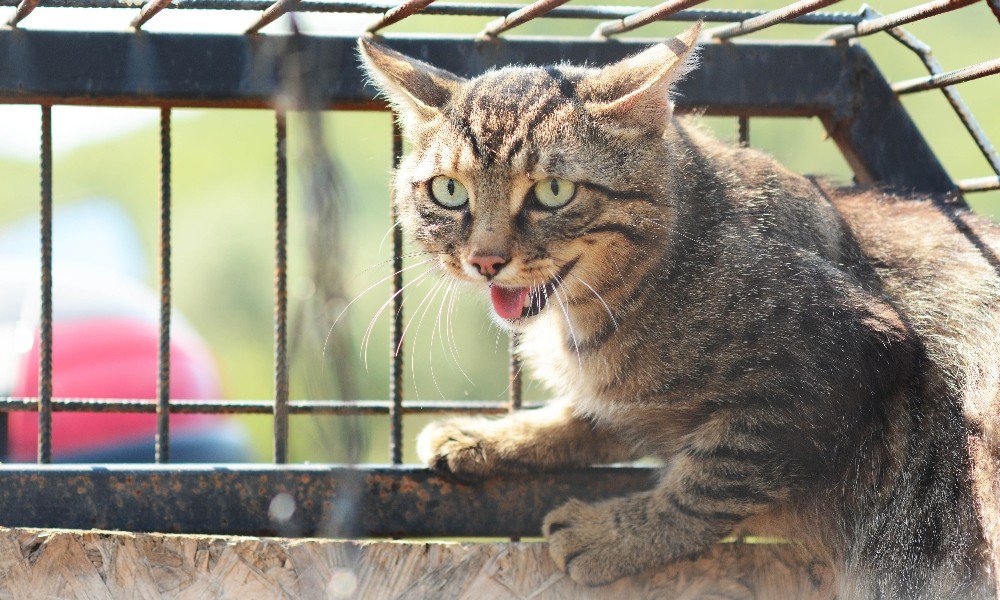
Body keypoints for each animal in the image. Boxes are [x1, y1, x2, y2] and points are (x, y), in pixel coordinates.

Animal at [360, 22, 1000, 596]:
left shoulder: (843, 361)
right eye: (448, 192)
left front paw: (616, 534)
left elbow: (713, 476)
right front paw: (490, 437)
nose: (486, 259)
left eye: (552, 192)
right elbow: (592, 415)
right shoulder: (625, 397)